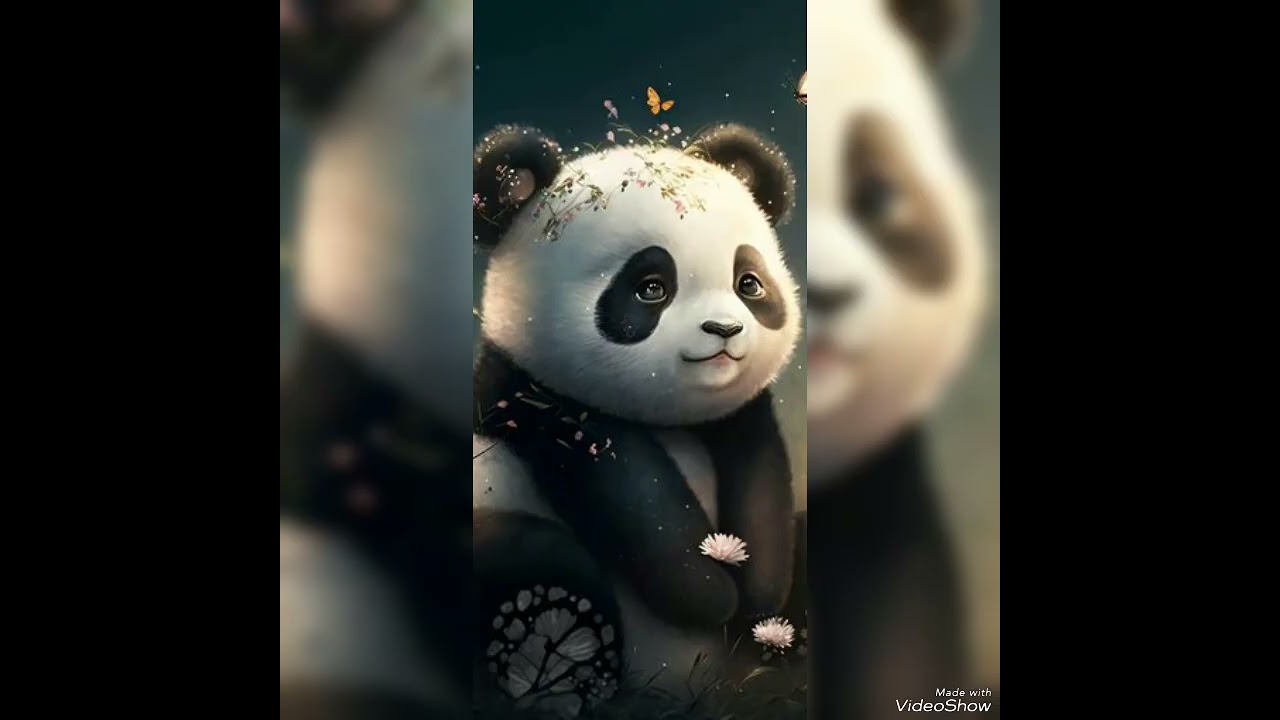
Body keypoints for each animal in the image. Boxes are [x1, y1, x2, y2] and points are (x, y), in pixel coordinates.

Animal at [471, 124, 804, 714]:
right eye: (651, 287)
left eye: (749, 283)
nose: (724, 330)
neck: (669, 421)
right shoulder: (528, 400)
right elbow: (632, 493)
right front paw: (709, 590)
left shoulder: (740, 416)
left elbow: (764, 484)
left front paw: (759, 596)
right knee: (533, 556)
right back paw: (543, 634)